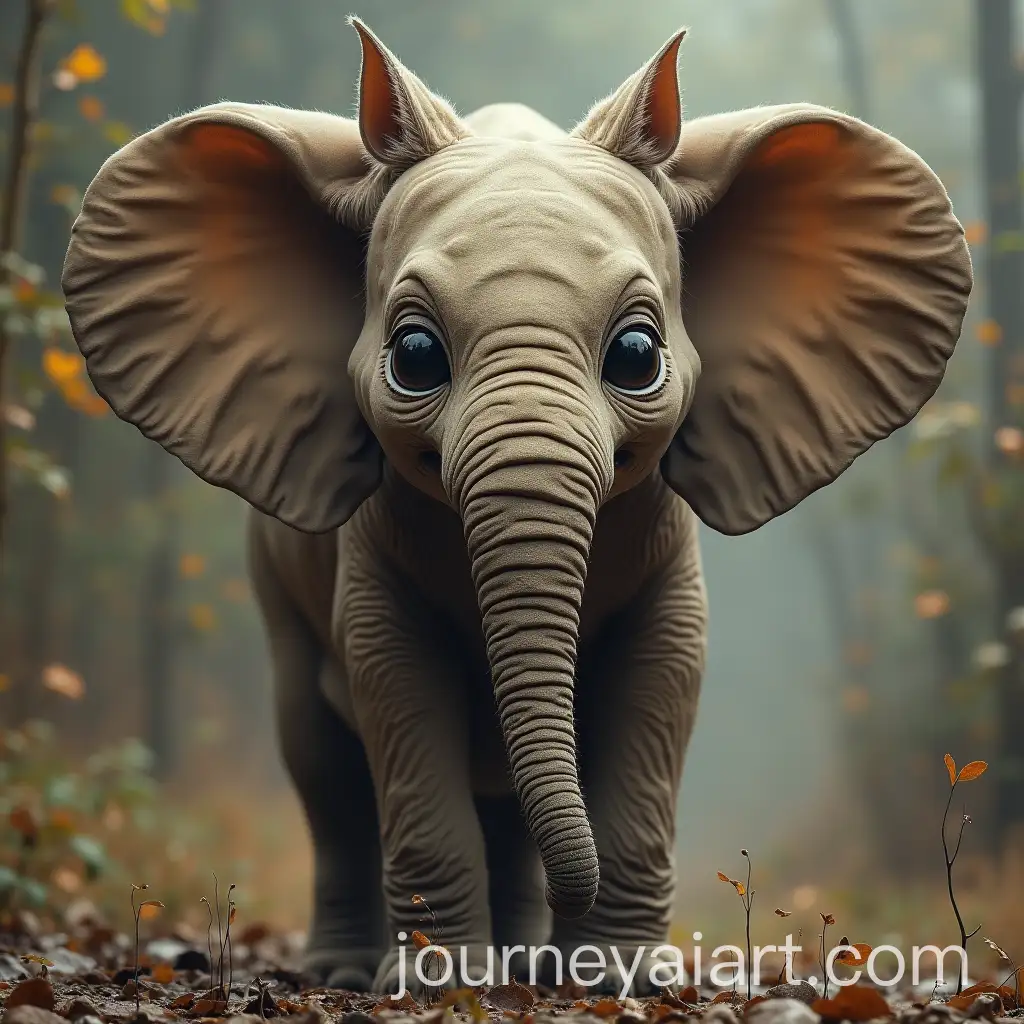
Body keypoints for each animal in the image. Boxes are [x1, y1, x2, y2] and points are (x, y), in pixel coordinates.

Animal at [61, 18, 972, 996]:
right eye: (416, 356)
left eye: (637, 355)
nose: (580, 905)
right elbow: (394, 684)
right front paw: (440, 986)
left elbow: (662, 677)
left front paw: (614, 983)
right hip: (273, 584)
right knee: (322, 761)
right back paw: (359, 971)